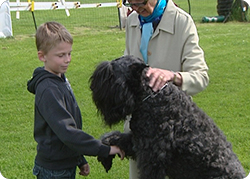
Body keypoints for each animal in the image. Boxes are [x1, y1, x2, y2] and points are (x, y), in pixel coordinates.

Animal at [89, 55, 245, 179]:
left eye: (110, 75)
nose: (92, 88)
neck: (153, 97)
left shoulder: (151, 159)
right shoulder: (137, 141)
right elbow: (111, 137)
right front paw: (105, 156)